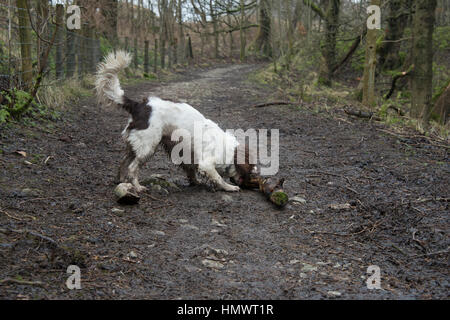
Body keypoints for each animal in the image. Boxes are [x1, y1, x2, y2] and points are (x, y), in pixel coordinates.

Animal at [96, 50, 256, 192]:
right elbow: (218, 178)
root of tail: (139, 105)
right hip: (148, 146)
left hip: (135, 144)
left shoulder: (188, 154)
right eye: (250, 174)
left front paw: (195, 182)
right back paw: (138, 187)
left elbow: (191, 170)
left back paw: (121, 181)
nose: (250, 186)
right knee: (132, 167)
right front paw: (229, 187)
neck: (230, 151)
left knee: (123, 162)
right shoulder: (207, 163)